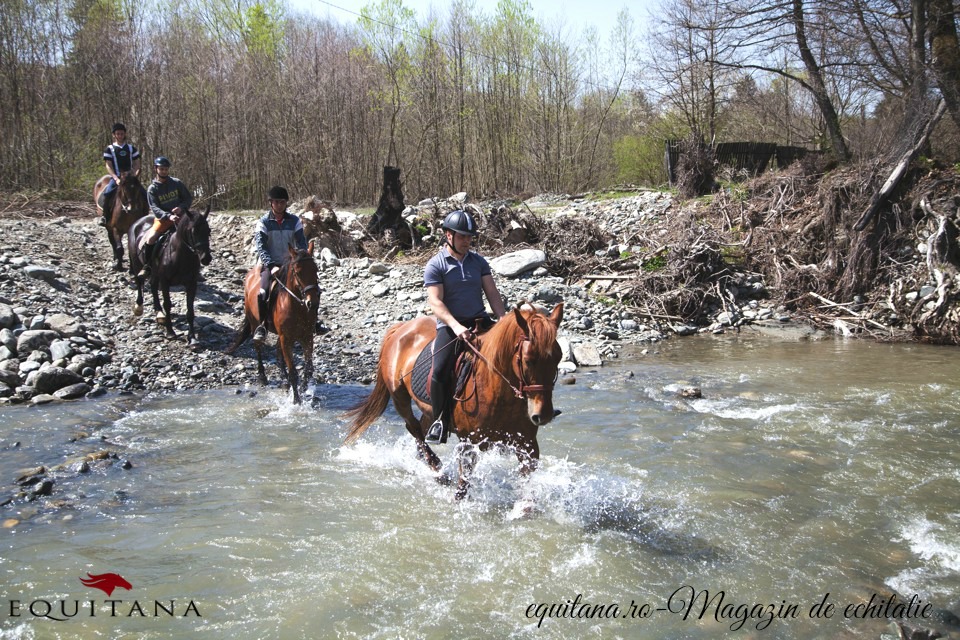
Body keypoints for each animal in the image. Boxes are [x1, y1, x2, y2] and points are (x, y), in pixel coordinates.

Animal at [125, 206, 212, 348]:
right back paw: (139, 307)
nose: (206, 258)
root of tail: (137, 223)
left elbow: (190, 310)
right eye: (193, 231)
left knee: (153, 286)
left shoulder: (191, 283)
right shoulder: (165, 282)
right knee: (139, 281)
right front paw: (170, 332)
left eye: (208, 231)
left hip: (155, 273)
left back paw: (159, 313)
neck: (180, 256)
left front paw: (192, 337)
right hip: (137, 262)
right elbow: (167, 304)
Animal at [230, 240, 320, 404]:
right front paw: (296, 400)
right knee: (258, 347)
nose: (312, 303)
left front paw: (304, 389)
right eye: (297, 272)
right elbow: (293, 372)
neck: (296, 306)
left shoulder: (307, 337)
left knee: (278, 352)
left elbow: (308, 368)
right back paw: (262, 377)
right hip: (254, 323)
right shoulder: (286, 339)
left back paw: (284, 381)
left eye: (315, 270)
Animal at [344, 302, 564, 498]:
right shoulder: (468, 445)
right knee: (413, 427)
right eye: (528, 360)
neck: (499, 394)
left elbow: (528, 488)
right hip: (399, 397)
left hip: (429, 409)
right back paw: (438, 470)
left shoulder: (527, 445)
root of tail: (402, 327)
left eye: (558, 358)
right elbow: (463, 488)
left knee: (423, 427)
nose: (543, 415)